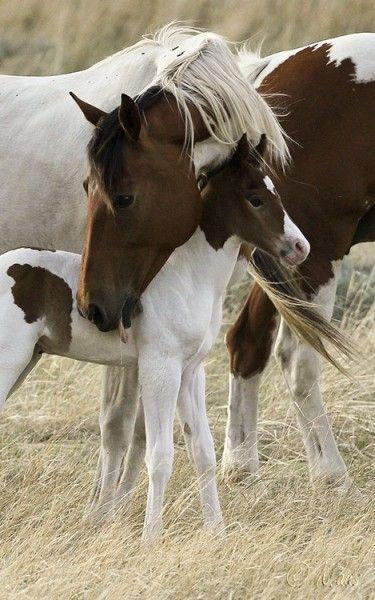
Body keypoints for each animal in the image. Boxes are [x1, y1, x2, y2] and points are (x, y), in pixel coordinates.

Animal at [0, 137, 312, 544]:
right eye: (255, 198)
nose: (300, 247)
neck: (190, 278)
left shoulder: (191, 372)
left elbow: (202, 451)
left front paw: (217, 532)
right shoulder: (160, 368)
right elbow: (160, 455)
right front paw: (151, 537)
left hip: (26, 361)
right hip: (9, 361)